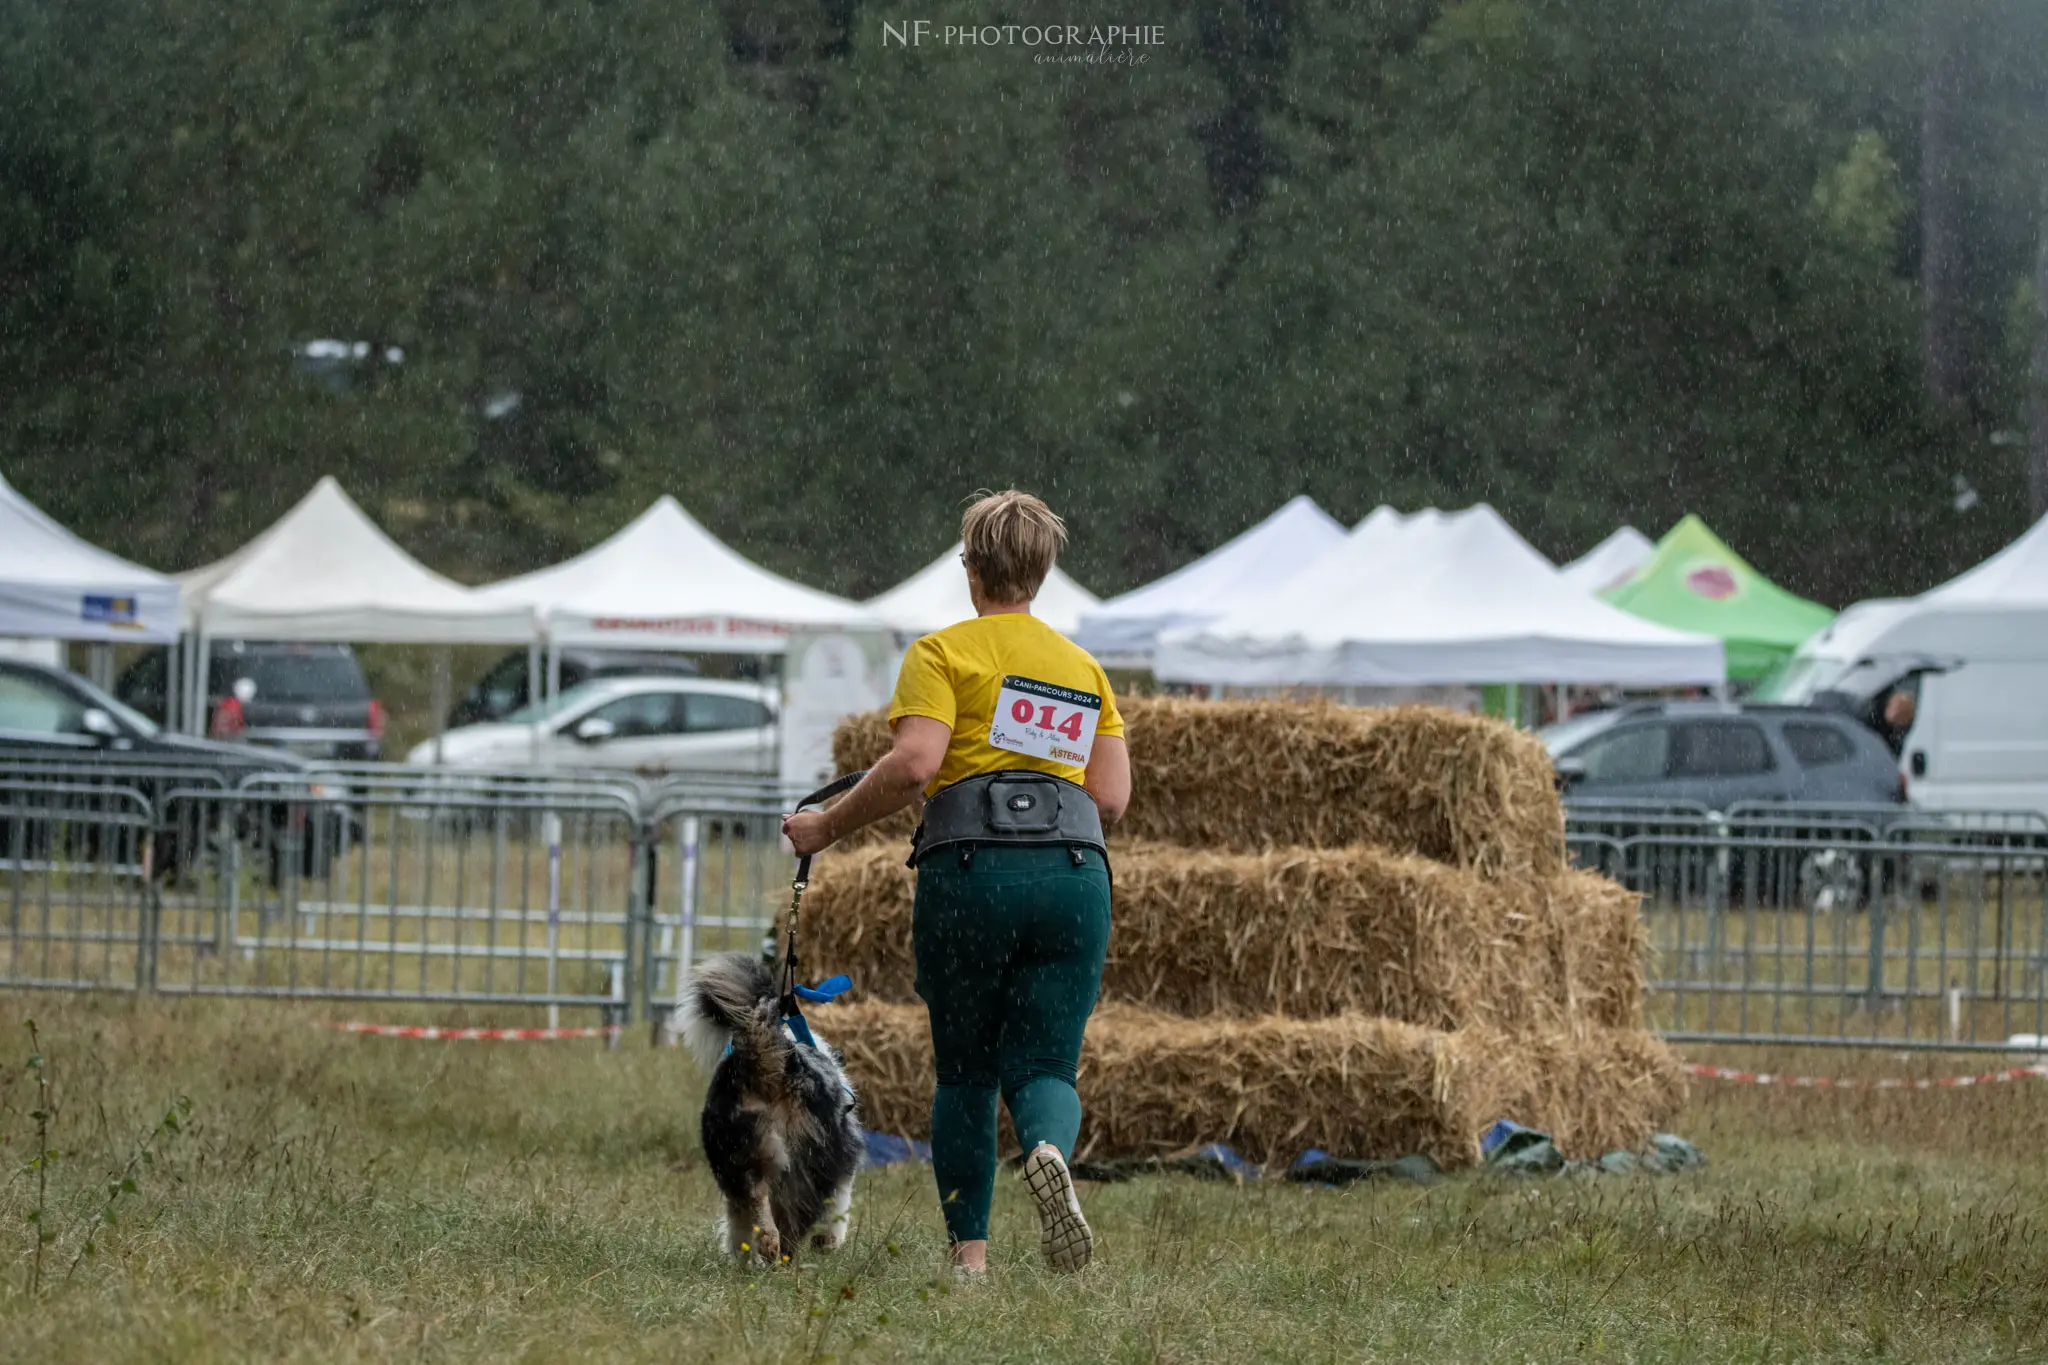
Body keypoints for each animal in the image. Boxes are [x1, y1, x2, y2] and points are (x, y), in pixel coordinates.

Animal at [675, 961, 860, 1260]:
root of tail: (769, 1064)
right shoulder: (842, 1168)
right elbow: (839, 1209)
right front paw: (828, 1242)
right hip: (807, 1160)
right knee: (793, 1218)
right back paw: (784, 1254)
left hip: (739, 1151)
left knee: (754, 1200)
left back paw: (766, 1246)